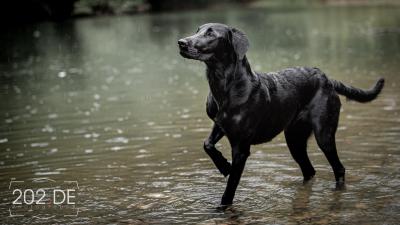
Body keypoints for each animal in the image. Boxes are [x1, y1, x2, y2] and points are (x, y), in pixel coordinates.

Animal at [178, 23, 384, 207]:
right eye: (197, 30)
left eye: (211, 34)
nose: (181, 42)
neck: (224, 86)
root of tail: (327, 78)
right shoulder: (220, 124)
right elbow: (207, 144)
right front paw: (223, 165)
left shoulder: (241, 148)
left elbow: (230, 188)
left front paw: (223, 206)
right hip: (295, 140)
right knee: (309, 171)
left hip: (323, 135)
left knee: (339, 168)